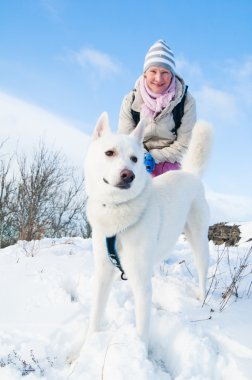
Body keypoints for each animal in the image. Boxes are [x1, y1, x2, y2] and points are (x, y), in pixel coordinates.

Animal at [84, 113, 213, 348]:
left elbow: (142, 330)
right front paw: (87, 346)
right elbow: (95, 316)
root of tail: (191, 175)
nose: (128, 175)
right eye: (109, 152)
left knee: (202, 273)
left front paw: (140, 352)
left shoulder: (141, 285)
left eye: (135, 159)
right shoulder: (103, 273)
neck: (117, 210)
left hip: (199, 242)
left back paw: (202, 297)